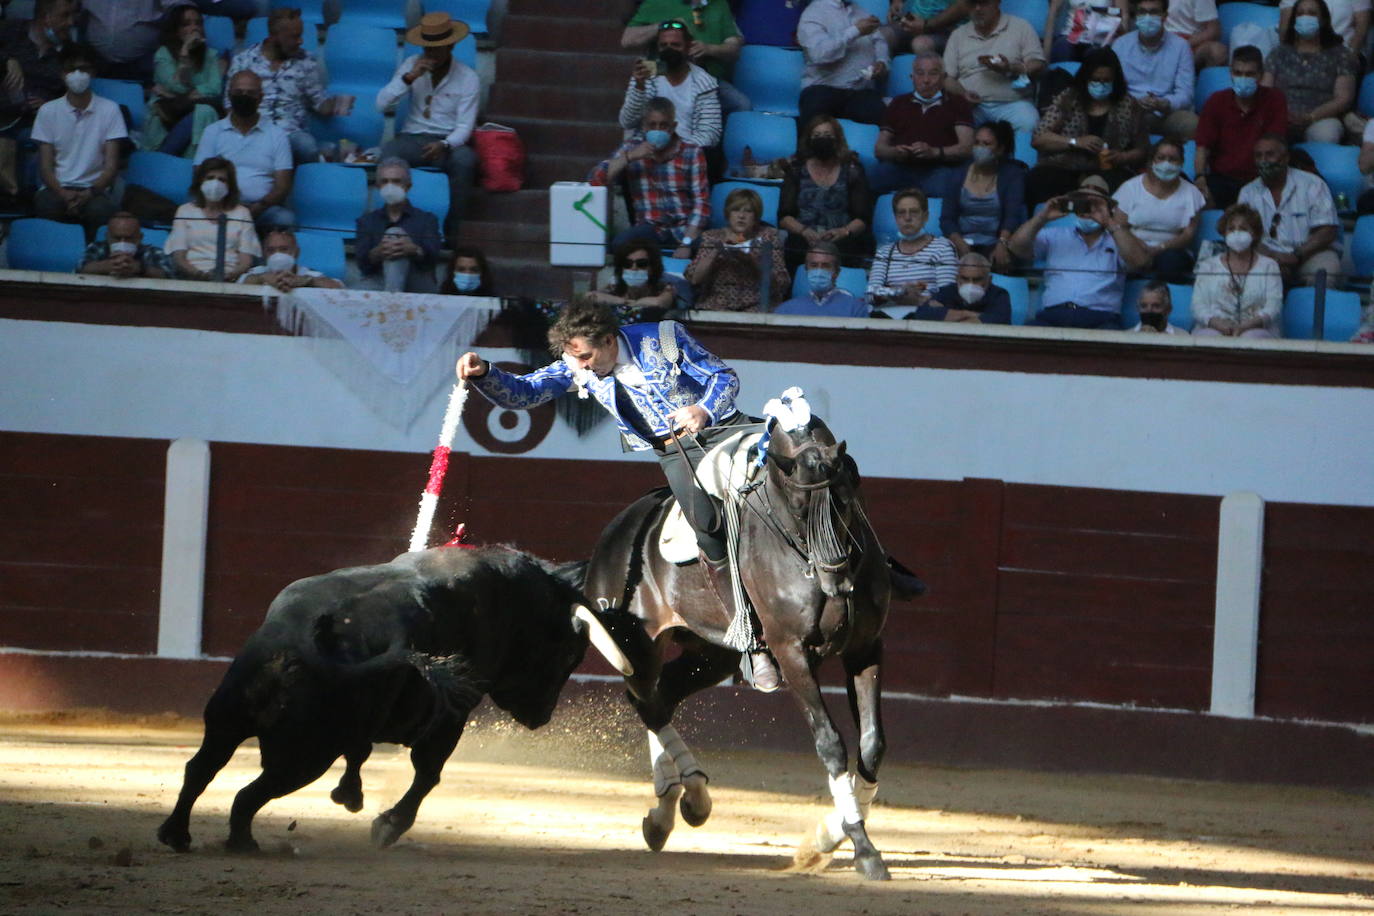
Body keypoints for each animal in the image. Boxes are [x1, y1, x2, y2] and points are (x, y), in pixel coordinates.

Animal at [158, 543, 629, 851]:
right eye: (570, 653)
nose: (542, 716)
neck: (510, 599)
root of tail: (300, 642)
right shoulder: (452, 716)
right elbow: (427, 773)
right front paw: (386, 825)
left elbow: (364, 754)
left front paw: (351, 796)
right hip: (303, 756)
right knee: (249, 794)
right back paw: (241, 841)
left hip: (227, 719)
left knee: (200, 769)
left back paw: (177, 834)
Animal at [585, 411, 895, 878]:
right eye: (799, 507)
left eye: (845, 497)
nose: (838, 582)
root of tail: (615, 533)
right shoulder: (791, 652)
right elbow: (831, 744)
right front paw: (863, 848)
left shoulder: (866, 648)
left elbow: (872, 746)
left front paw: (829, 835)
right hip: (639, 646)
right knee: (647, 702)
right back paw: (680, 800)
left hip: (711, 654)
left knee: (662, 696)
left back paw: (672, 806)